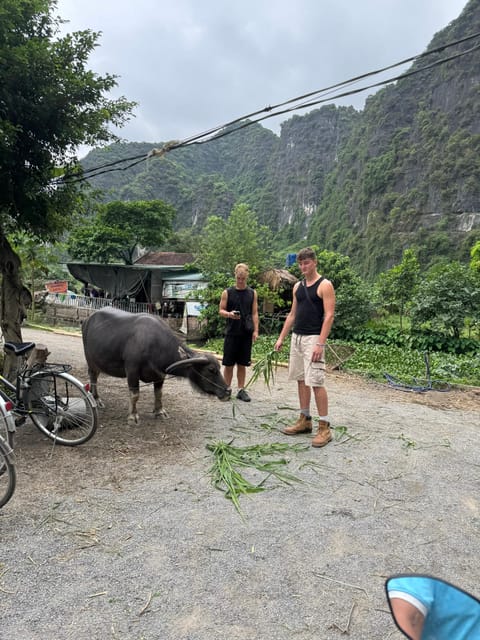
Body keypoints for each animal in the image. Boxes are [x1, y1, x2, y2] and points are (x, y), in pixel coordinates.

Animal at [81, 308, 232, 422]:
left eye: (219, 368)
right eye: (211, 370)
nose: (228, 391)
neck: (154, 344)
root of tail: (88, 319)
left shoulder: (160, 375)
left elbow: (158, 393)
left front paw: (159, 411)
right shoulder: (132, 371)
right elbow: (135, 394)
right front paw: (133, 416)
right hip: (90, 360)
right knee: (93, 377)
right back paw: (96, 399)